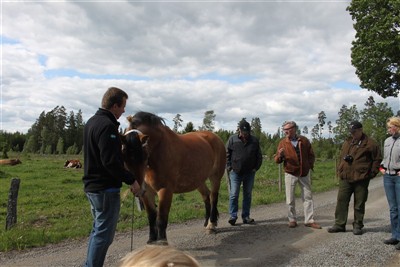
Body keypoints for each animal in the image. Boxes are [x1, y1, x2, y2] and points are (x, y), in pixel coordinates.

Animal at [122, 112, 225, 246]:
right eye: (123, 155)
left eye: (144, 155)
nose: (136, 189)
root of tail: (216, 137)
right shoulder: (147, 193)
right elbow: (151, 216)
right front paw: (151, 239)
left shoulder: (165, 190)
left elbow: (161, 218)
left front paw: (162, 241)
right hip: (199, 181)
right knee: (206, 196)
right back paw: (207, 222)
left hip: (215, 177)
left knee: (213, 197)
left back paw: (211, 225)